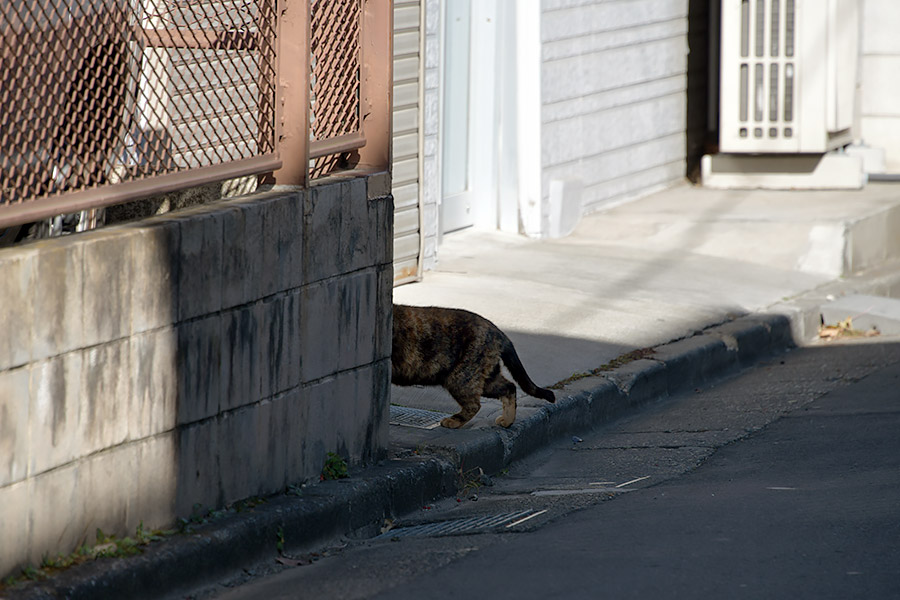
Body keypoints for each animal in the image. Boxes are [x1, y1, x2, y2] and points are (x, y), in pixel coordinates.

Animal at [394, 304, 556, 426]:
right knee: (509, 387)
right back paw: (507, 421)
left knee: (475, 404)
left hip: (461, 378)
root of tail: (498, 331)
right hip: (486, 378)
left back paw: (453, 421)